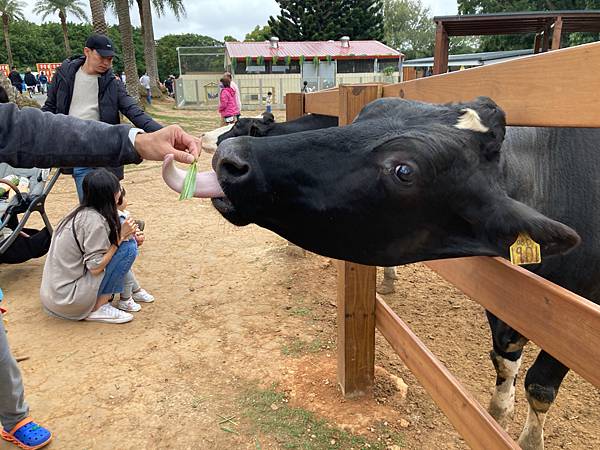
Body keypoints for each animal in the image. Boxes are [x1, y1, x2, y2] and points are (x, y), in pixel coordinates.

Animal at [165, 96, 600, 448]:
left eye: (404, 171)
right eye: (364, 116)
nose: (228, 154)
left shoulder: (573, 323)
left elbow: (539, 385)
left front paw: (526, 438)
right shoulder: (506, 306)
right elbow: (503, 358)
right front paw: (497, 414)